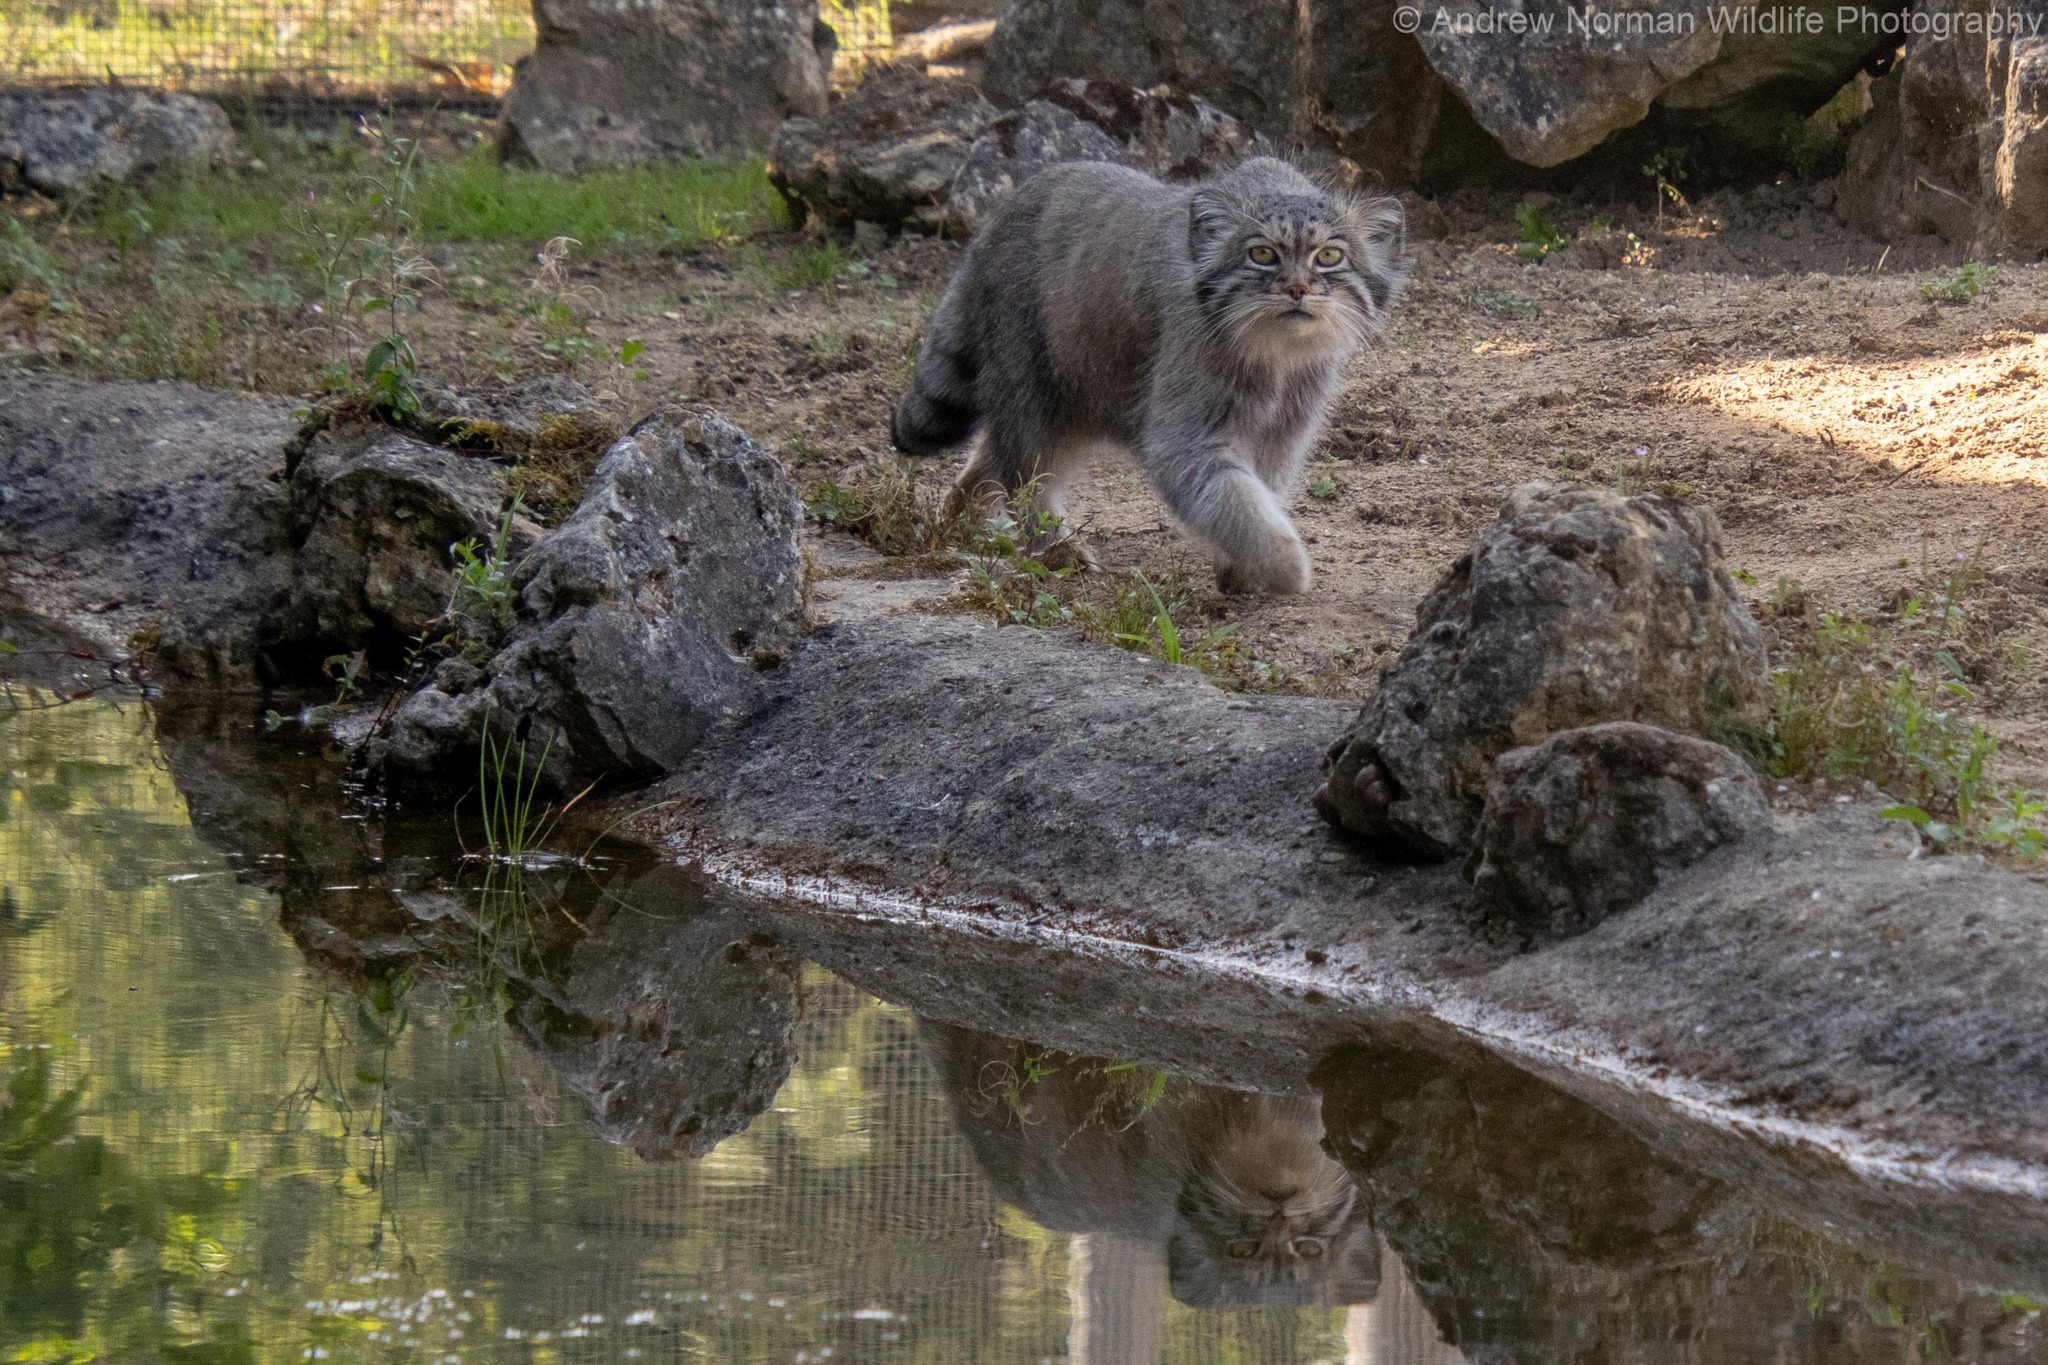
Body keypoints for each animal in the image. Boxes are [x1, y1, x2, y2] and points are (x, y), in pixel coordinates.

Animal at [897, 154, 1409, 593]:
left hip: (1079, 402)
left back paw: (960, 521)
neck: (1276, 361)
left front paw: (1239, 568)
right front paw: (1284, 566)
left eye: (1330, 256)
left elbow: (1259, 495)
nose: (1298, 288)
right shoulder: (1183, 437)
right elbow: (1236, 502)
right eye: (1262, 254)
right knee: (1024, 474)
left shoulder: (1283, 434)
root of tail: (997, 219)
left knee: (991, 458)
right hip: (1031, 386)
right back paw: (1057, 548)